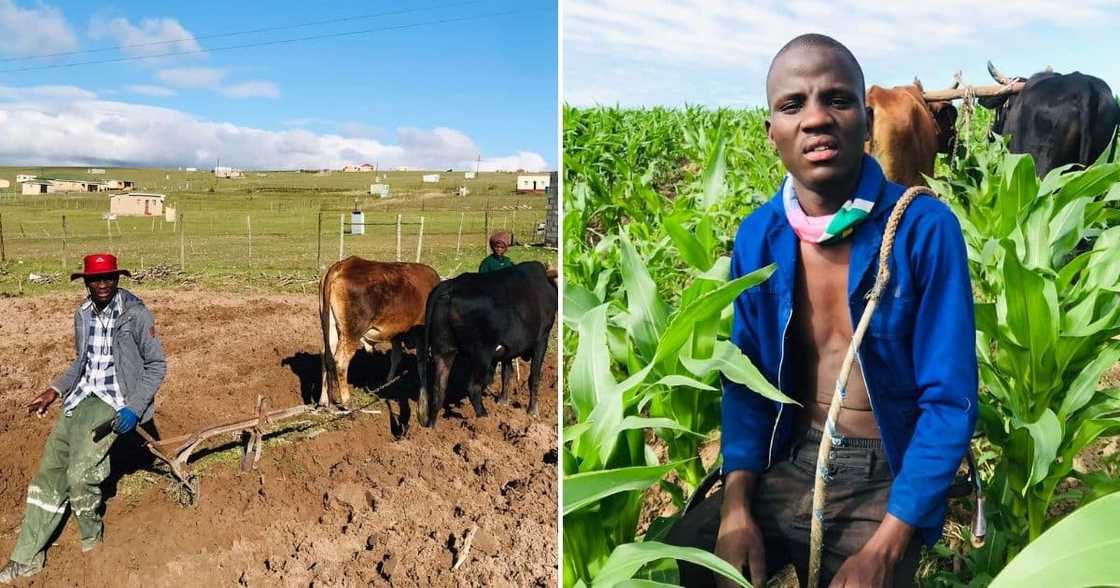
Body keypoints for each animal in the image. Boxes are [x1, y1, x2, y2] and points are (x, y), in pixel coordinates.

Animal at [318, 256, 439, 407]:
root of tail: (342, 266)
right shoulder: (421, 333)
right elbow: (421, 363)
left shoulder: (396, 334)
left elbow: (396, 357)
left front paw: (389, 382)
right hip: (352, 332)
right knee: (341, 361)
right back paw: (346, 401)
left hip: (330, 326)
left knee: (325, 355)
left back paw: (323, 400)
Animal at [416, 260, 555, 425]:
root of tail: (450, 285)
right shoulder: (542, 339)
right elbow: (534, 377)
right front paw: (533, 412)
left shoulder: (509, 348)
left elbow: (506, 374)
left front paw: (503, 402)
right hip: (482, 354)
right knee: (473, 388)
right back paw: (484, 418)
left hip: (444, 350)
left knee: (439, 389)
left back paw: (432, 426)